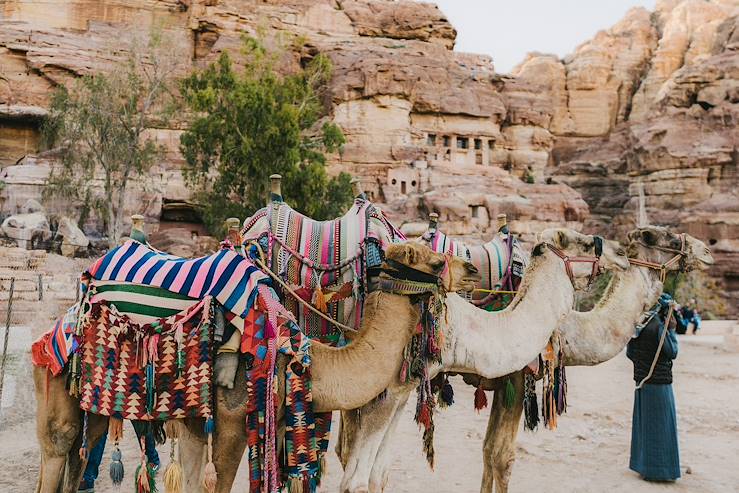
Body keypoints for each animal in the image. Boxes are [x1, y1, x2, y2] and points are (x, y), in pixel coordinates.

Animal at [30, 240, 480, 490]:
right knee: (56, 451)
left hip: (94, 411)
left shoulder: (224, 427)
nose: (473, 269)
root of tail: (54, 330)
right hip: (55, 394)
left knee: (79, 457)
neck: (300, 358)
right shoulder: (229, 428)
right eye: (435, 261)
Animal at [344, 226, 712, 492]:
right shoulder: (519, 377)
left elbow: (487, 452)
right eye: (661, 237)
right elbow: (502, 457)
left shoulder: (503, 383)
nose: (706, 251)